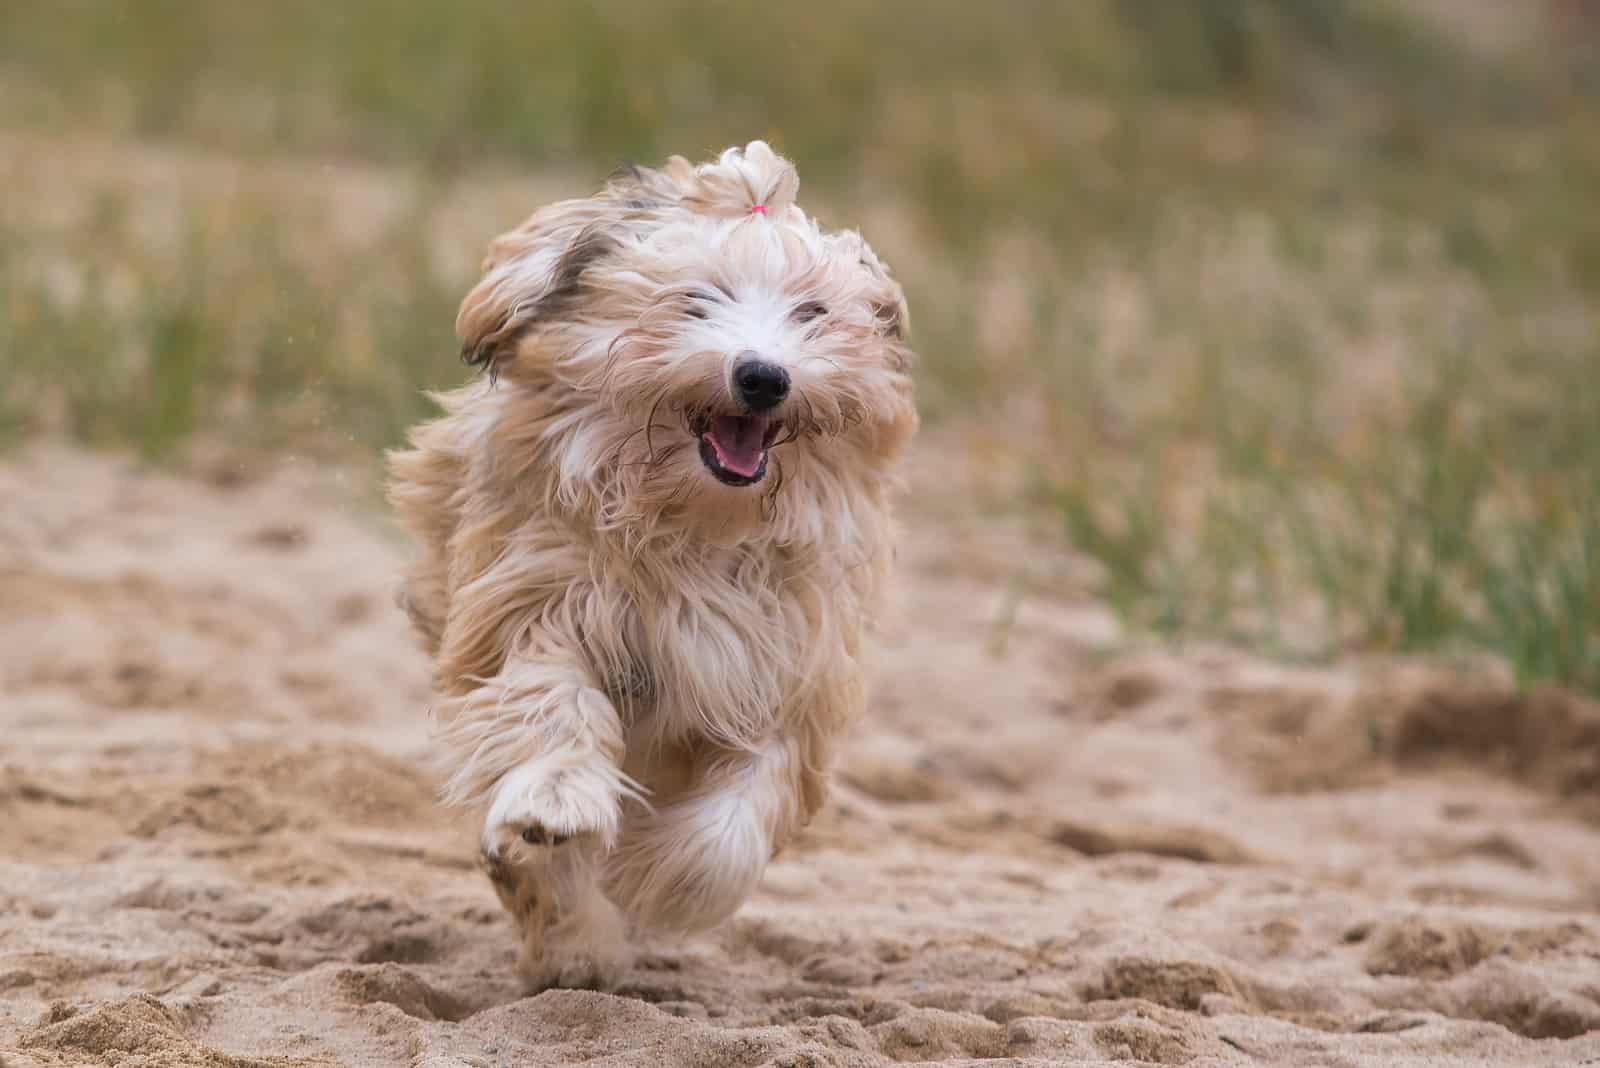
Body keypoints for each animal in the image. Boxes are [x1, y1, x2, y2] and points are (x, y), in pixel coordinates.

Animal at [384, 141, 915, 991]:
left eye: (812, 314)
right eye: (697, 300)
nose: (763, 375)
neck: (693, 527)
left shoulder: (783, 673)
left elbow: (738, 815)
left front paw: (660, 877)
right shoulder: (535, 606)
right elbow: (550, 708)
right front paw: (557, 803)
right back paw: (570, 938)